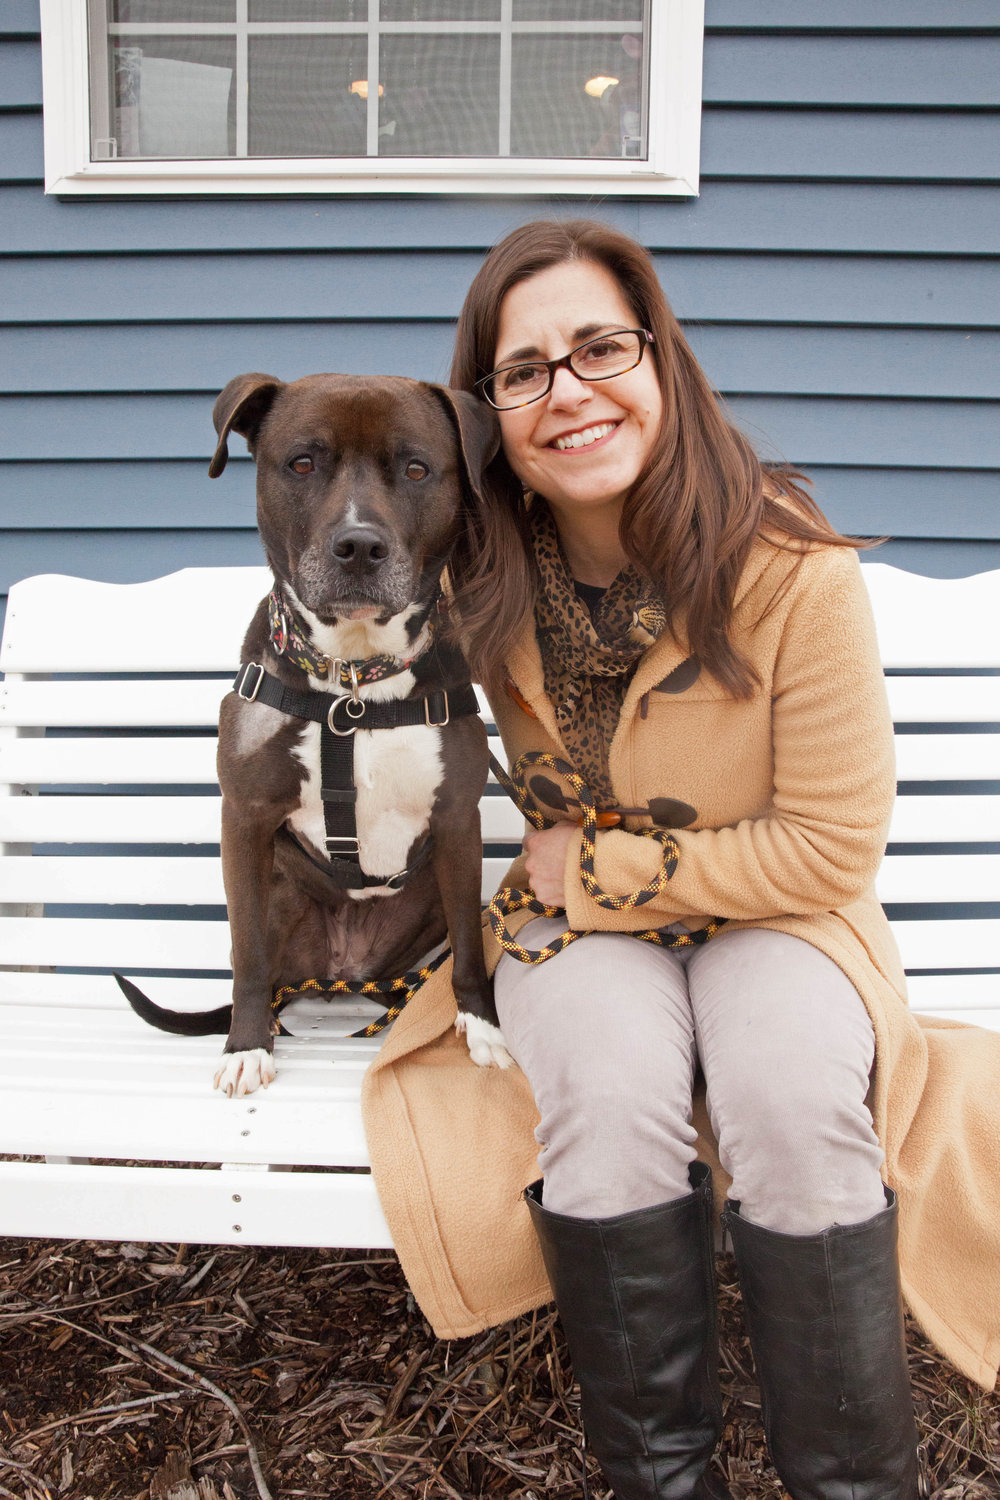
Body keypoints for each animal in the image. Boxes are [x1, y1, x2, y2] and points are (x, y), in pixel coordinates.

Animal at [117, 369, 515, 1098]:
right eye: (302, 463)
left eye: (416, 469)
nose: (359, 546)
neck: (352, 682)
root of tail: (340, 974)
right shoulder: (245, 821)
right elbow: (244, 956)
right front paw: (246, 1046)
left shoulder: (456, 821)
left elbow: (471, 954)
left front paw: (482, 1027)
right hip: (279, 891)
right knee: (265, 967)